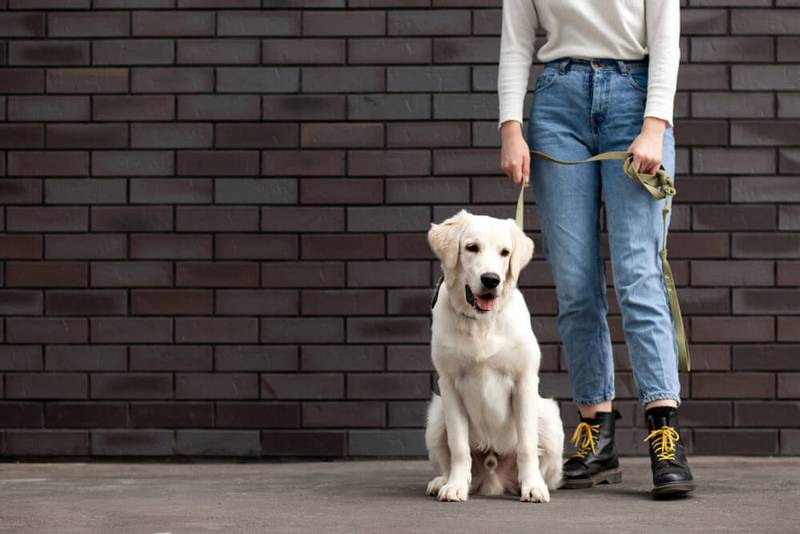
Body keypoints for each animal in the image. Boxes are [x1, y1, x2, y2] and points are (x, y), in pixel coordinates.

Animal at [424, 211, 564, 504]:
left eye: (505, 252)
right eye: (471, 247)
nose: (491, 280)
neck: (481, 323)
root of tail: (492, 480)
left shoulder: (524, 382)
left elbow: (527, 446)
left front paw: (533, 487)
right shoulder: (449, 384)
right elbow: (458, 447)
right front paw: (455, 486)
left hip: (549, 417)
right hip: (436, 416)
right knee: (448, 458)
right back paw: (443, 480)